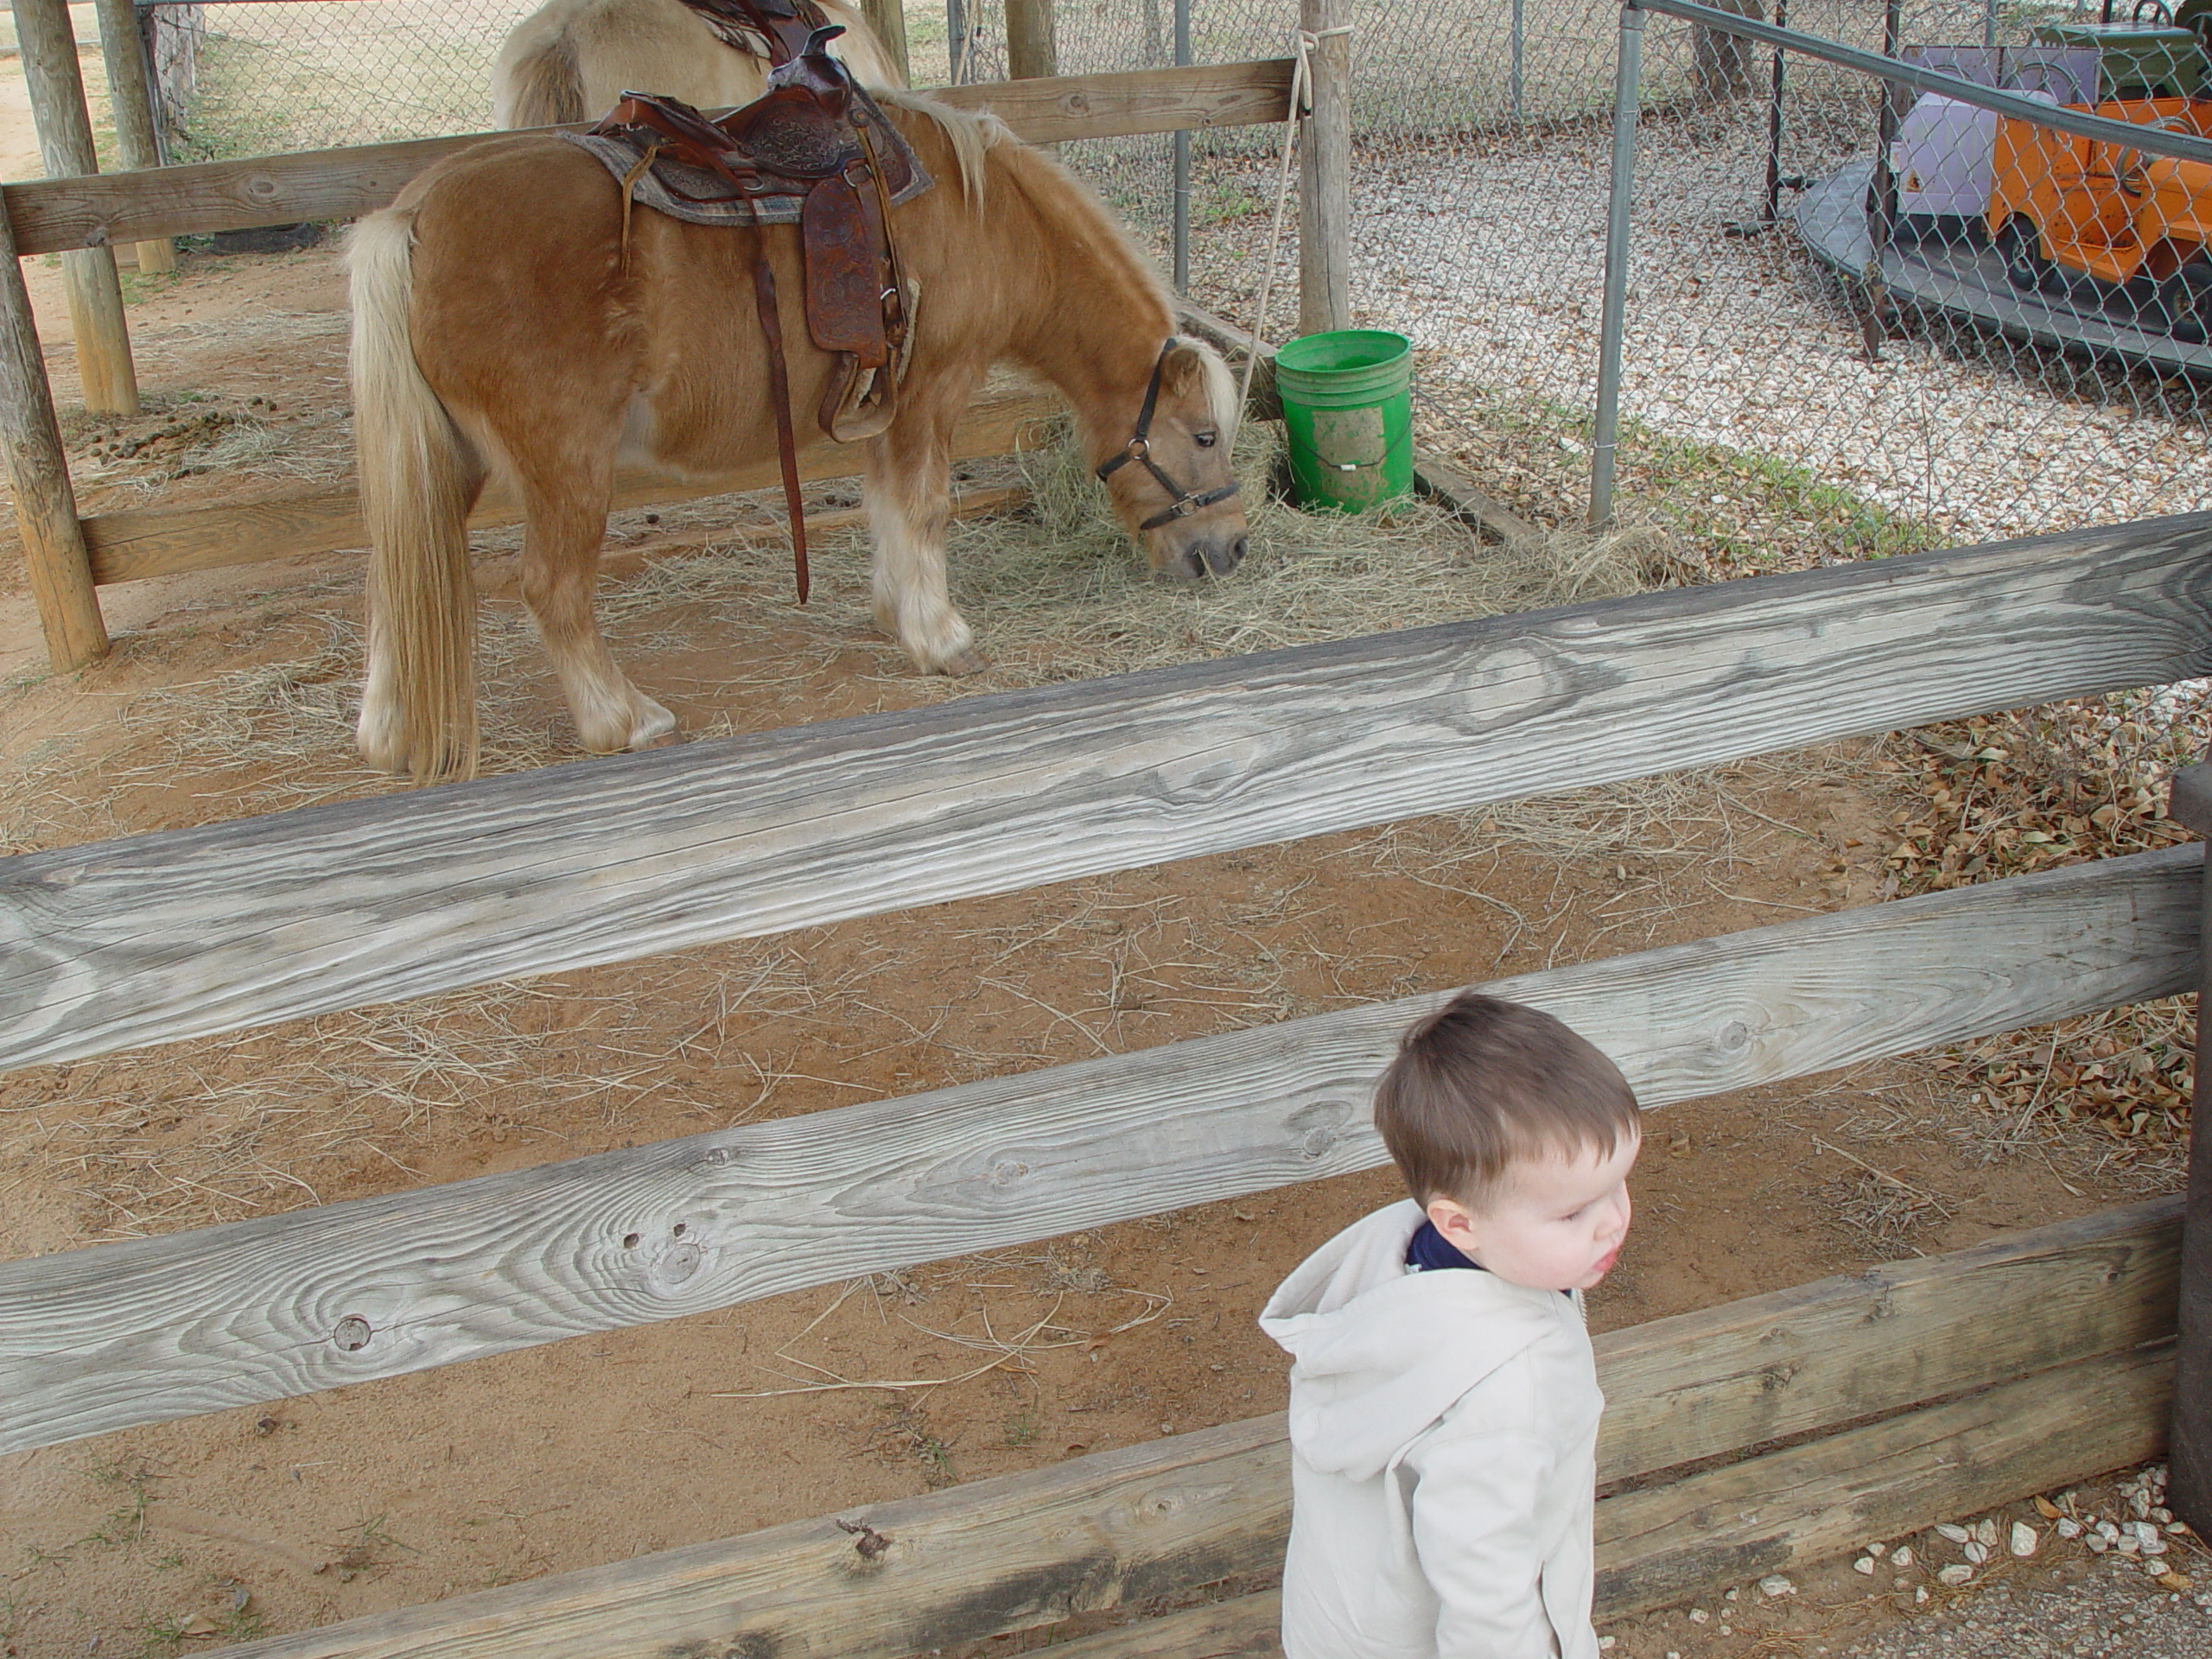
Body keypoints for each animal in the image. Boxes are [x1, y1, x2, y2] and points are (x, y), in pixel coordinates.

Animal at [342, 93, 1247, 783]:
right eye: (1204, 435)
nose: (1232, 549)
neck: (990, 219)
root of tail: (414, 216)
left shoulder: (889, 406)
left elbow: (887, 508)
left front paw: (894, 614)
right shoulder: (934, 392)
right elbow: (925, 511)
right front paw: (942, 639)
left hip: (445, 461)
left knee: (395, 578)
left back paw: (388, 735)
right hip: (568, 465)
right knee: (551, 591)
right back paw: (624, 720)